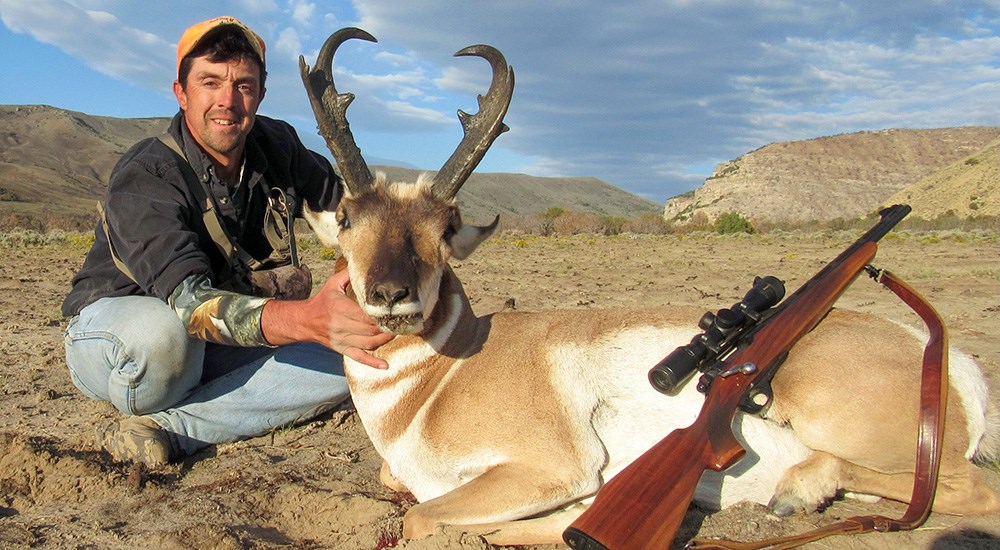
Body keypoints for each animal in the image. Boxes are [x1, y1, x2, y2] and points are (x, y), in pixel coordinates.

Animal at [302, 28, 1000, 544]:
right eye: (347, 218)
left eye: (446, 226)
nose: (392, 294)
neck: (445, 375)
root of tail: (949, 357)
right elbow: (398, 486)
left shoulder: (551, 467)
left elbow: (423, 515)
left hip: (838, 417)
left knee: (965, 490)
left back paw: (795, 491)